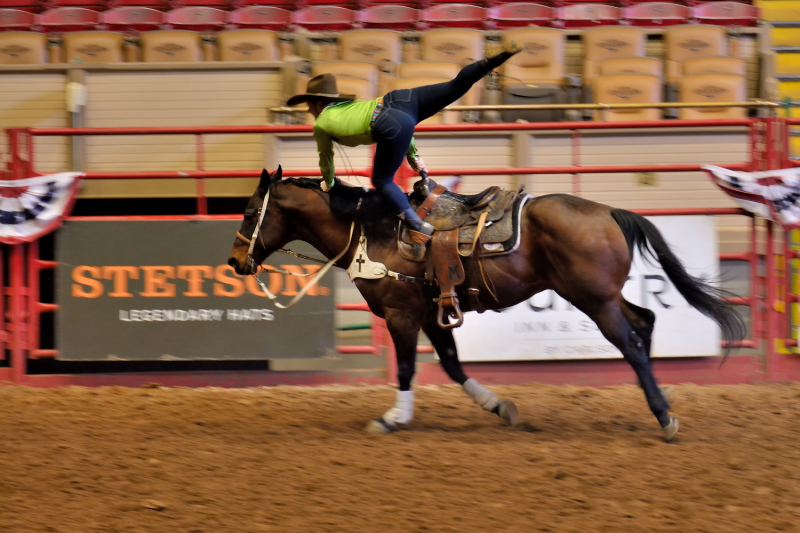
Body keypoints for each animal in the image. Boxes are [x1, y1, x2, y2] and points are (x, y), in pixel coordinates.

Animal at [228, 168, 748, 442]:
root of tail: (608, 212)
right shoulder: (432, 315)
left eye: (251, 213)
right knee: (645, 321)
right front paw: (500, 407)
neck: (372, 233)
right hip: (604, 295)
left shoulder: (401, 315)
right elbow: (453, 367)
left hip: (594, 301)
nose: (234, 261)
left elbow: (406, 369)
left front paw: (392, 418)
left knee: (633, 345)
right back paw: (663, 401)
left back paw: (664, 416)